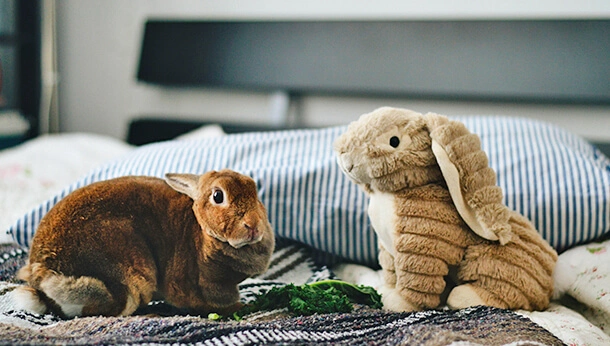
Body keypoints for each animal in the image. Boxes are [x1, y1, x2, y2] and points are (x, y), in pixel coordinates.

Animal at [14, 169, 274, 318]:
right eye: (218, 196)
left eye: (255, 191)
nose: (253, 226)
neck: (202, 231)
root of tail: (43, 273)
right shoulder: (204, 286)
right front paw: (241, 308)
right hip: (131, 275)